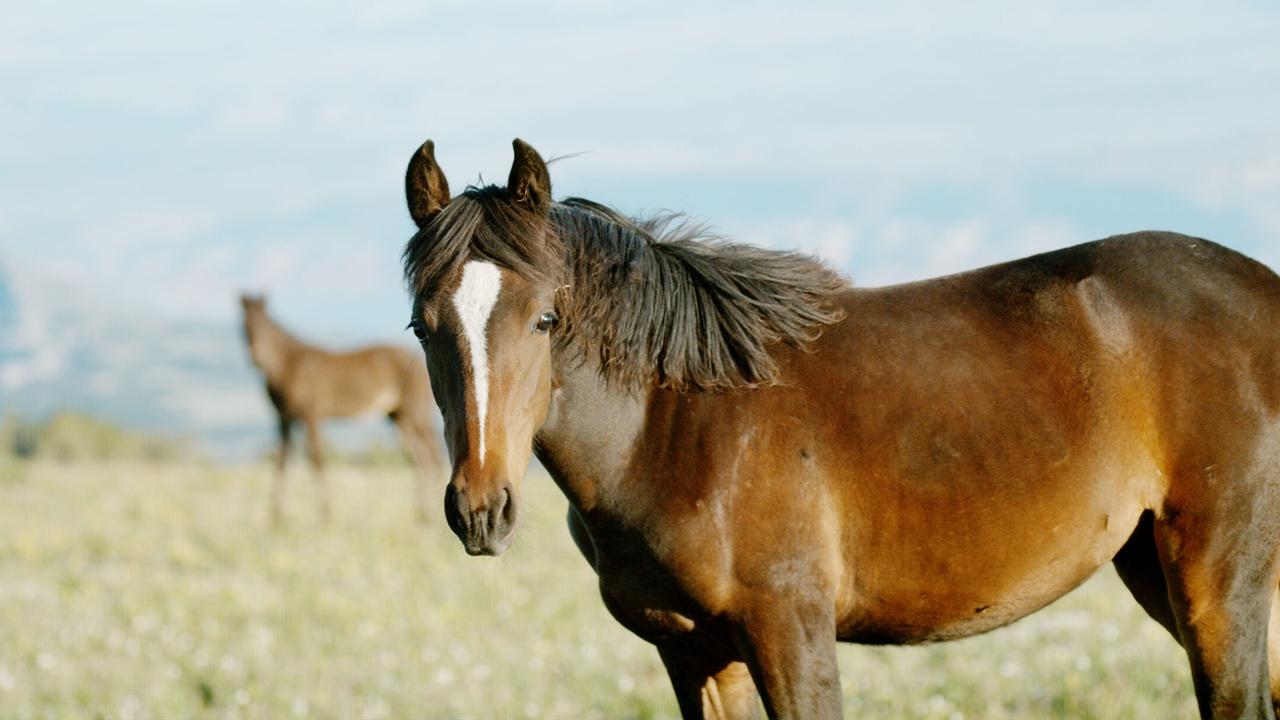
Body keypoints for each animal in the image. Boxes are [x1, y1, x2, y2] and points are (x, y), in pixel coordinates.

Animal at [239, 294, 443, 524]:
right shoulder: (283, 418)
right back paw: (423, 515)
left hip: (416, 413)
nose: (256, 356)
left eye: (264, 325)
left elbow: (316, 458)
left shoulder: (312, 414)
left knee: (433, 454)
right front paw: (276, 515)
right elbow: (282, 459)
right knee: (417, 457)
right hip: (397, 417)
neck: (289, 365)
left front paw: (325, 514)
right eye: (244, 326)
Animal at [399, 138, 1280, 719]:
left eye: (547, 318)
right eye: (421, 326)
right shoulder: (693, 653)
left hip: (1215, 580)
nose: (481, 510)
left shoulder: (791, 634)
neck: (676, 425)